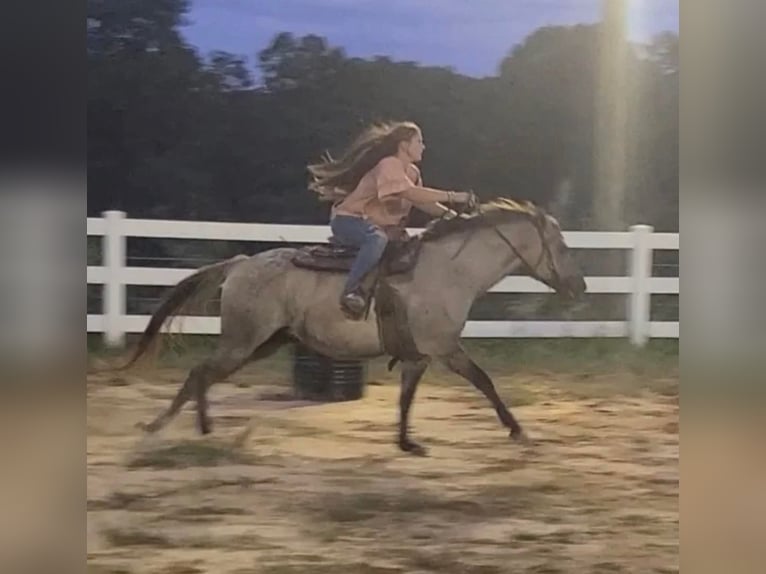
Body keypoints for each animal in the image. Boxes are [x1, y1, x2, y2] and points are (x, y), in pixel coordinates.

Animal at [123, 200, 588, 456]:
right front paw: (519, 431)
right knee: (200, 372)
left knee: (203, 375)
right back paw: (173, 426)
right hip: (243, 340)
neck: (452, 270)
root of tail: (240, 263)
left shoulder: (419, 356)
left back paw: (188, 426)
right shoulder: (445, 348)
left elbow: (405, 399)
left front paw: (407, 443)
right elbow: (485, 382)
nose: (580, 286)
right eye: (562, 246)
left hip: (263, 342)